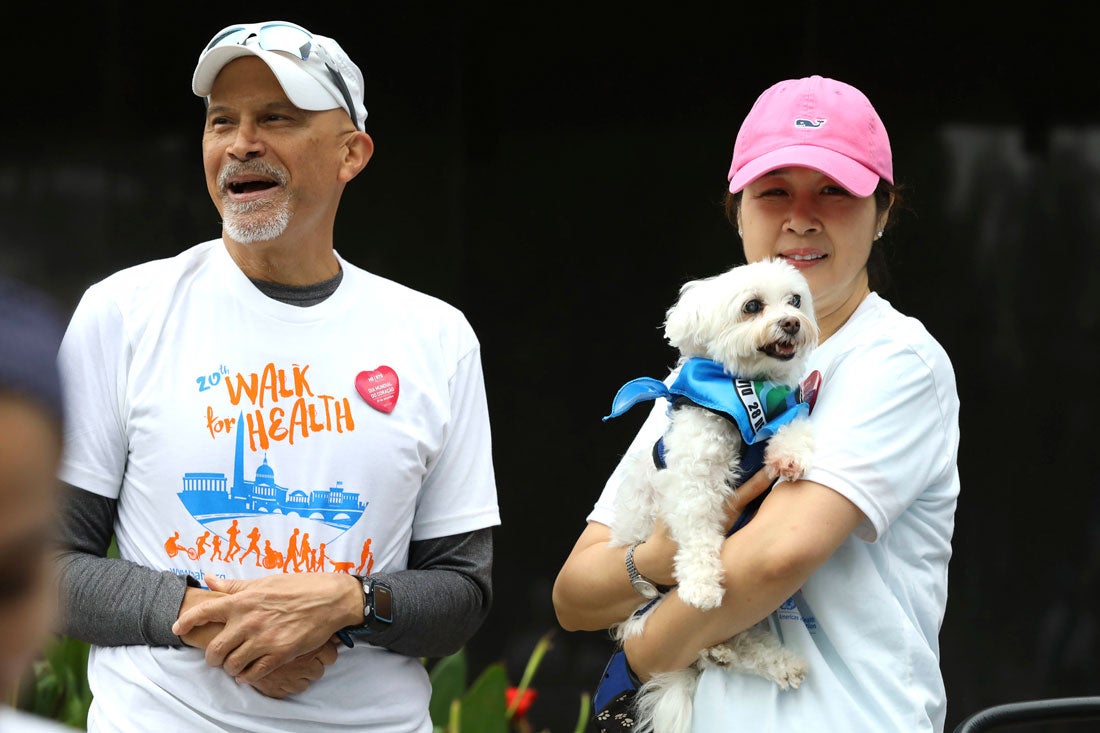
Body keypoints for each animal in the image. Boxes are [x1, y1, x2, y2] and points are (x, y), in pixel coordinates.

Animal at [607, 256, 822, 730]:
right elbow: (699, 535)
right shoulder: (693, 479)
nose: (791, 323)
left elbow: (795, 428)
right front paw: (702, 585)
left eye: (795, 301)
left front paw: (790, 458)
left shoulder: (786, 412)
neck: (749, 391)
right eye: (752, 306)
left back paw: (760, 659)